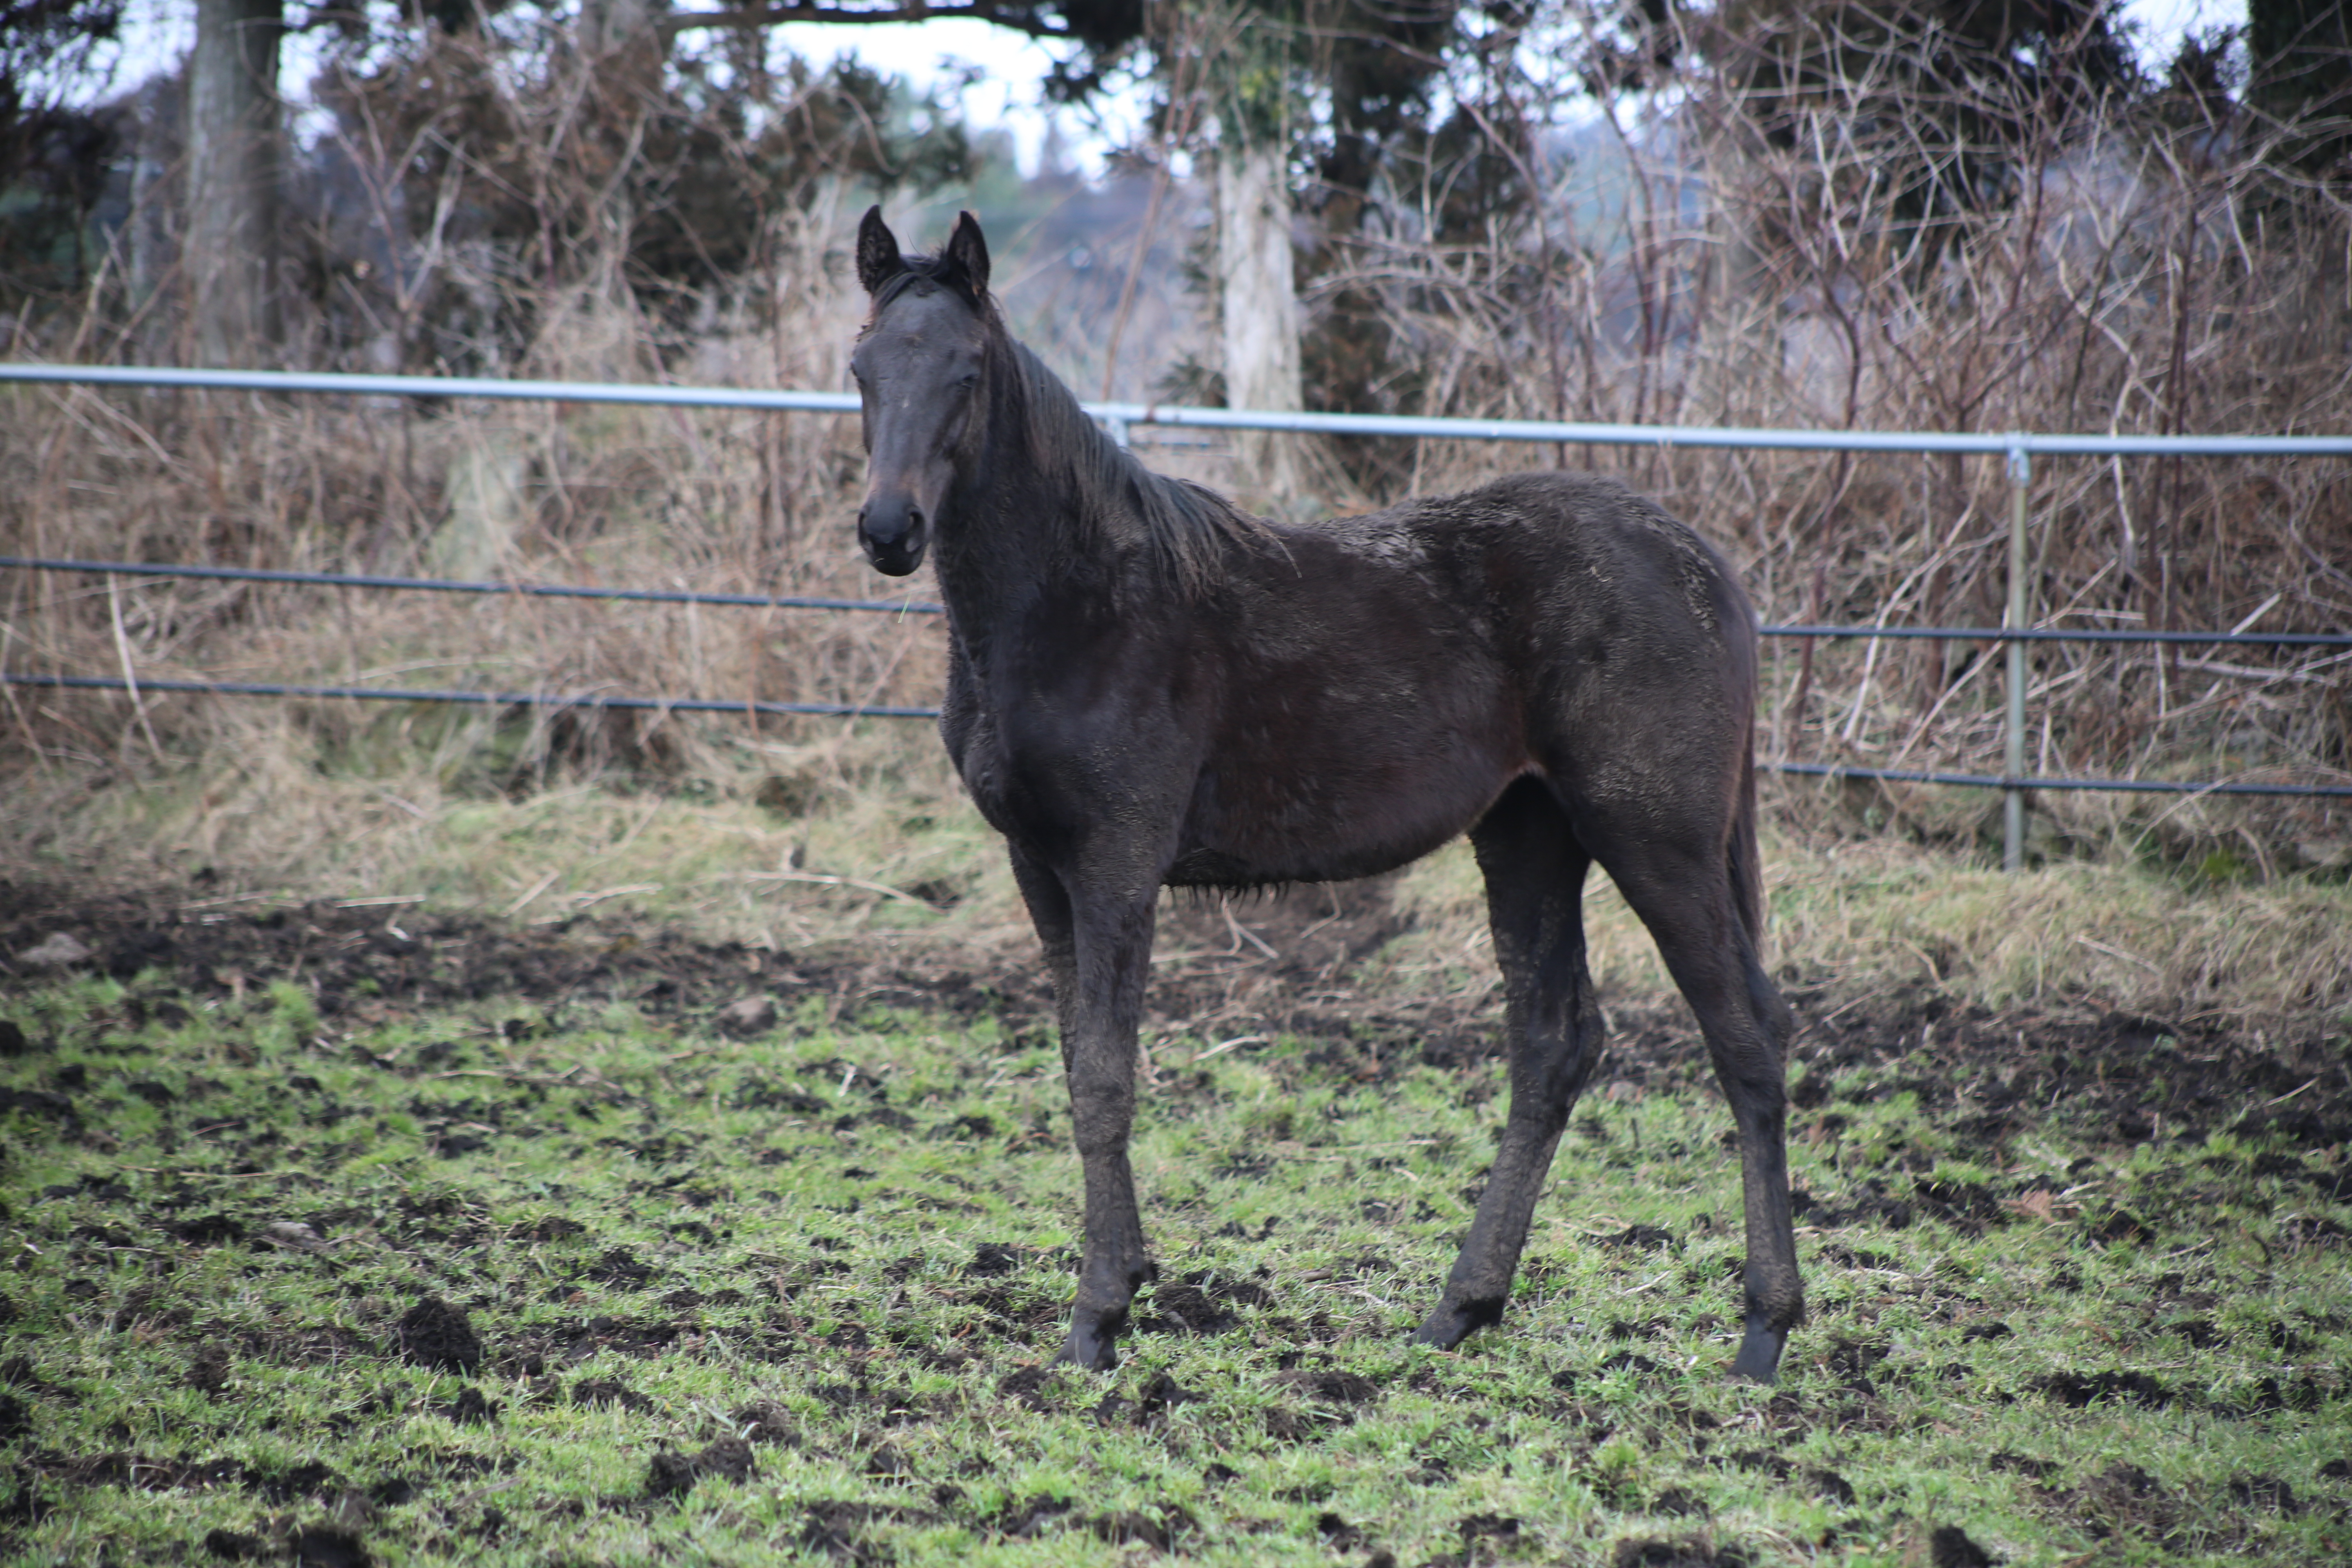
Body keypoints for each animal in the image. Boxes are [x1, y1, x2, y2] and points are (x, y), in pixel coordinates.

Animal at [861, 208, 1797, 1382]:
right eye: (862, 366)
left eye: (967, 372)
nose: (888, 530)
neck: (1079, 604)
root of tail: (1706, 569)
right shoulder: (1040, 866)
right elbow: (1079, 1070)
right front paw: (1123, 1286)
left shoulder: (1118, 866)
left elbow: (1110, 1080)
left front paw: (1099, 1319)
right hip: (1529, 832)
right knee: (1555, 1044)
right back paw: (1460, 1310)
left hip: (1655, 837)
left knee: (1745, 1037)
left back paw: (1763, 1332)